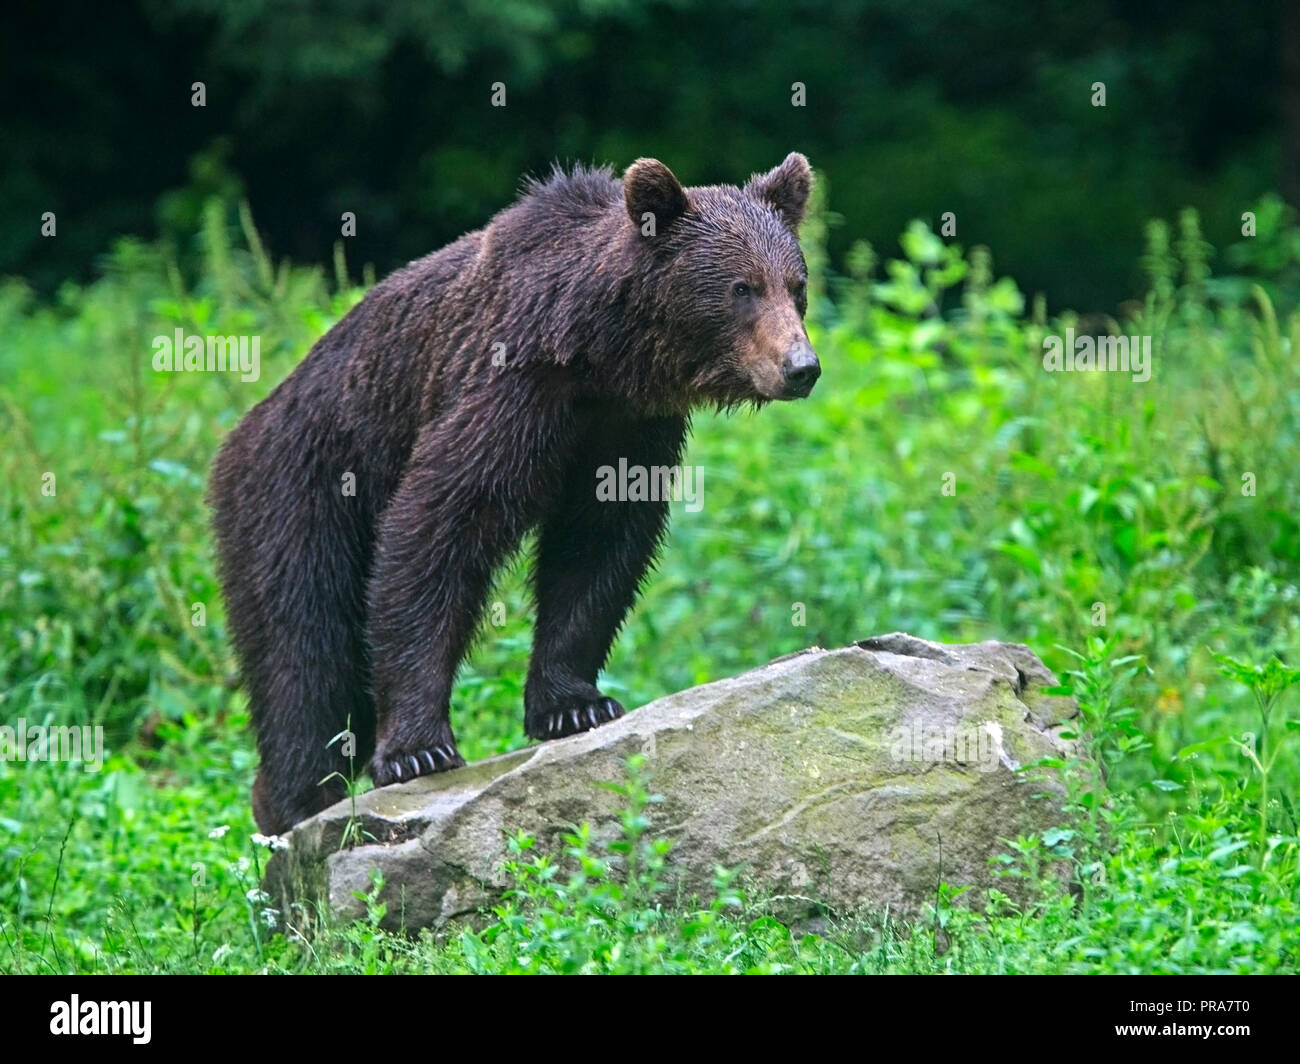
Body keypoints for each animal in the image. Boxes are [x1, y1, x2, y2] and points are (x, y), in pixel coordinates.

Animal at [213, 151, 821, 827]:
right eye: (742, 288)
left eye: (796, 285)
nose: (801, 367)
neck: (601, 356)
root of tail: (244, 431)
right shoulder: (507, 389)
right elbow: (438, 525)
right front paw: (418, 749)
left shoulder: (627, 430)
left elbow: (597, 549)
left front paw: (574, 704)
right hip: (301, 489)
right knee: (302, 649)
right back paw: (298, 799)